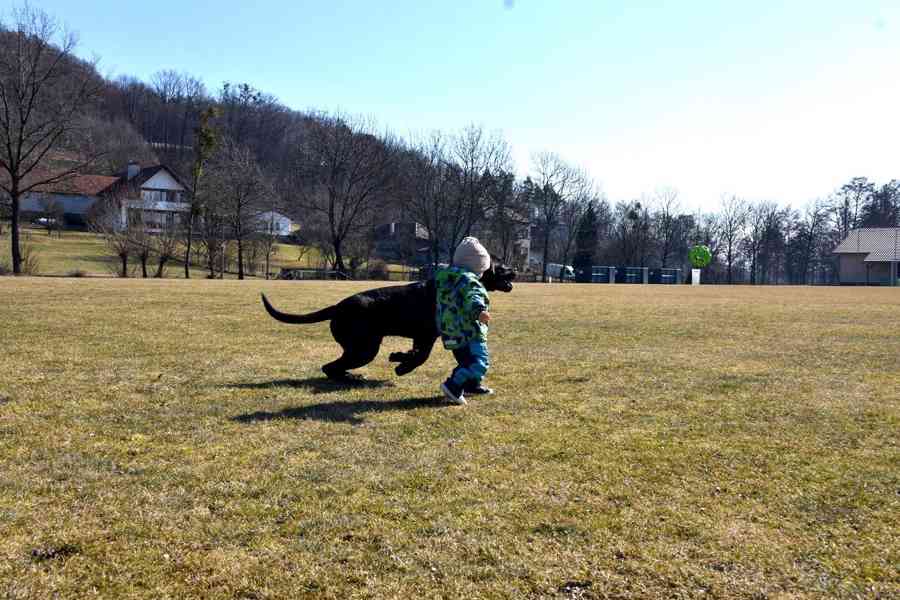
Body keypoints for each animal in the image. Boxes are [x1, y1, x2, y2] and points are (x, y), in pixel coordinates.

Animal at [260, 264, 512, 380]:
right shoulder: (427, 336)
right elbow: (421, 357)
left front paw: (399, 357)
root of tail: (338, 307)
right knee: (330, 368)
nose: (515, 271)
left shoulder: (421, 337)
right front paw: (402, 366)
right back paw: (353, 378)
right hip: (364, 349)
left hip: (361, 348)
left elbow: (416, 353)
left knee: (332, 367)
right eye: (502, 268)